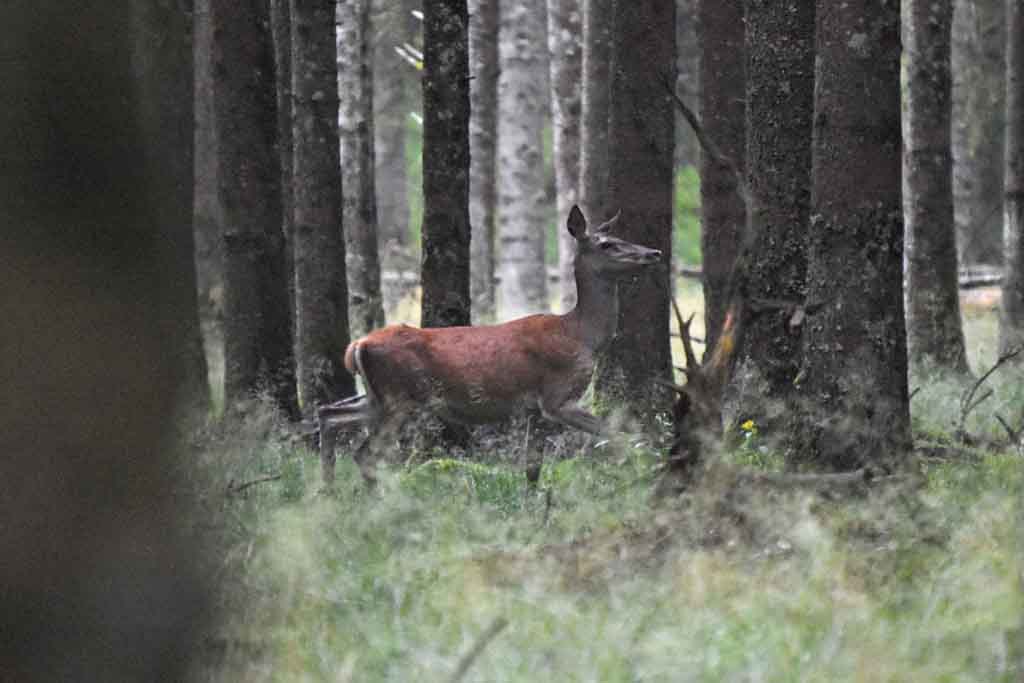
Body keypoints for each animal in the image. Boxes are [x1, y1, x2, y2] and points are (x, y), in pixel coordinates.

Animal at [317, 205, 664, 487]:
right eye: (608, 244)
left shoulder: (532, 410)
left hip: (377, 398)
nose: (654, 253)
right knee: (365, 453)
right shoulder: (557, 398)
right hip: (398, 398)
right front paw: (643, 474)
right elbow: (622, 435)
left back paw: (328, 491)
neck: (580, 335)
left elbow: (532, 468)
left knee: (328, 414)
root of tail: (357, 345)